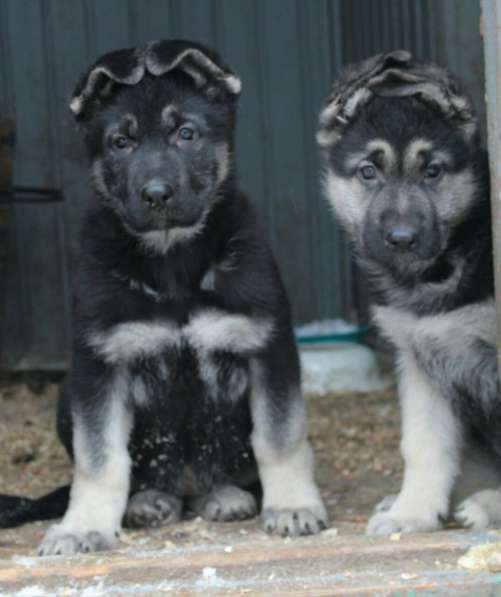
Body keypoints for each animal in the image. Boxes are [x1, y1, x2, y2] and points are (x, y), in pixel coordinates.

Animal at [0, 40, 326, 556]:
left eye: (186, 134)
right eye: (121, 142)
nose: (156, 194)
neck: (173, 263)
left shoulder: (266, 350)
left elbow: (279, 437)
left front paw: (292, 505)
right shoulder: (100, 367)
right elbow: (99, 460)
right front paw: (82, 526)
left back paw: (225, 494)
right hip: (67, 396)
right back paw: (147, 501)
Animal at [318, 51, 500, 532]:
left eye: (432, 171)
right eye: (368, 171)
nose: (401, 238)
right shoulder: (419, 360)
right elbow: (422, 445)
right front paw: (412, 511)